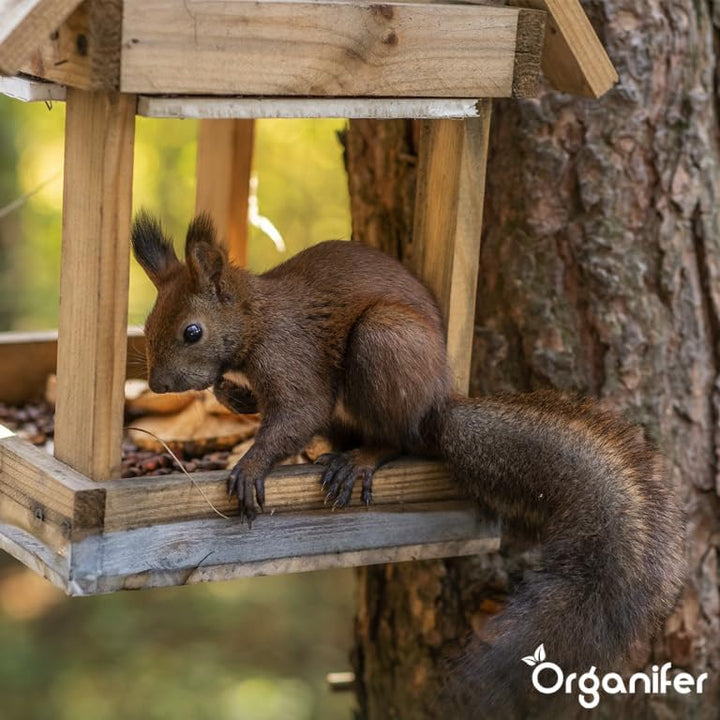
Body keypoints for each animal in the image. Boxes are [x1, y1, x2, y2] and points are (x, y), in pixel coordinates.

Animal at [131, 210, 686, 717]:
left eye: (193, 332)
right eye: (151, 322)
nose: (157, 384)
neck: (255, 318)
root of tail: (438, 406)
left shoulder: (291, 356)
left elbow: (301, 411)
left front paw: (250, 467)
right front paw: (232, 395)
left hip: (385, 343)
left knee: (400, 438)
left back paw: (361, 460)